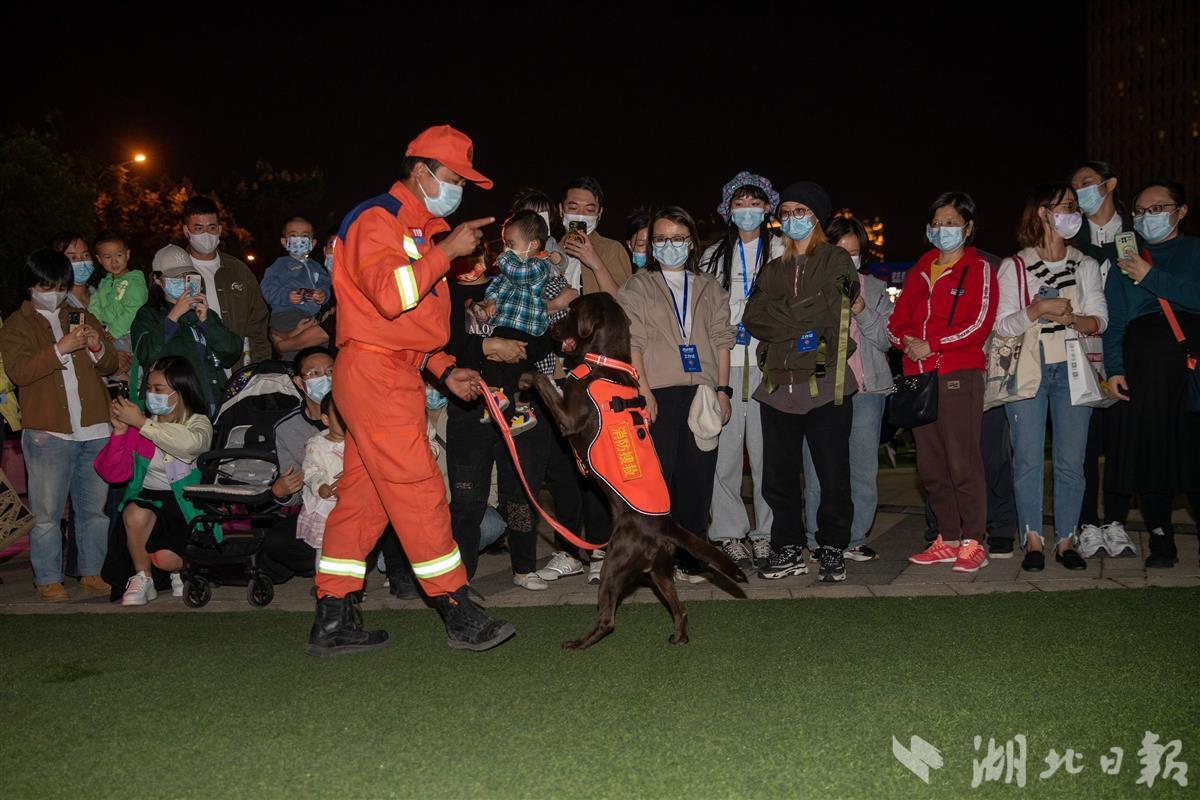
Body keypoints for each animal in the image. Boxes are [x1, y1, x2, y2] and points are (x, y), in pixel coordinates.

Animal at [519, 293, 747, 650]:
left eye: (570, 310)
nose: (550, 328)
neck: (606, 364)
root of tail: (666, 525)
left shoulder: (568, 418)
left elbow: (544, 381)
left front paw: (527, 377)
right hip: (658, 571)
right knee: (680, 609)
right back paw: (679, 637)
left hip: (616, 562)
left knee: (608, 619)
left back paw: (579, 643)